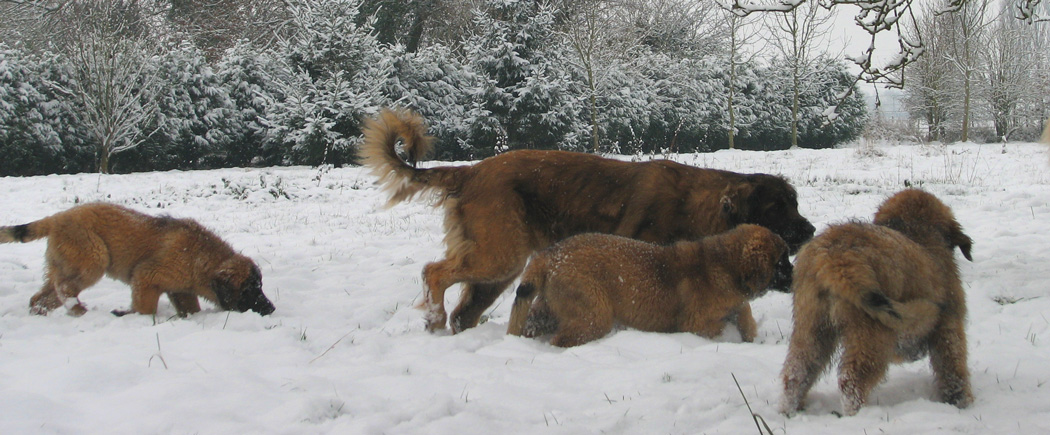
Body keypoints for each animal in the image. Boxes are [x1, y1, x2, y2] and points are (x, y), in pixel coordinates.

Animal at [0, 201, 275, 317]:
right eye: (250, 290)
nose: (271, 308)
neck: (203, 259)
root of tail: (56, 218)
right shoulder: (146, 276)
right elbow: (146, 308)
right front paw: (136, 317)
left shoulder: (181, 290)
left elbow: (191, 309)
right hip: (93, 256)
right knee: (65, 287)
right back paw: (76, 308)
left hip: (65, 262)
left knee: (42, 296)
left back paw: (44, 312)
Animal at [356, 108, 814, 332]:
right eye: (780, 207)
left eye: (795, 203)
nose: (810, 231)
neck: (695, 202)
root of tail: (471, 171)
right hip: (498, 254)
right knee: (434, 272)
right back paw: (433, 318)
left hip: (500, 268)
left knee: (464, 312)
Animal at [503, 223, 789, 346]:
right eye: (781, 261)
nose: (794, 276)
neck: (727, 265)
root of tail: (549, 255)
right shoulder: (695, 323)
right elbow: (722, 327)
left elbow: (744, 316)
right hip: (593, 312)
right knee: (562, 339)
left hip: (550, 308)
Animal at [781, 189, 974, 413]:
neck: (919, 232)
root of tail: (836, 256)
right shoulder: (948, 327)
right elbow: (953, 369)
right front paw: (961, 401)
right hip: (872, 333)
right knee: (852, 381)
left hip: (812, 327)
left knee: (796, 374)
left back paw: (790, 409)